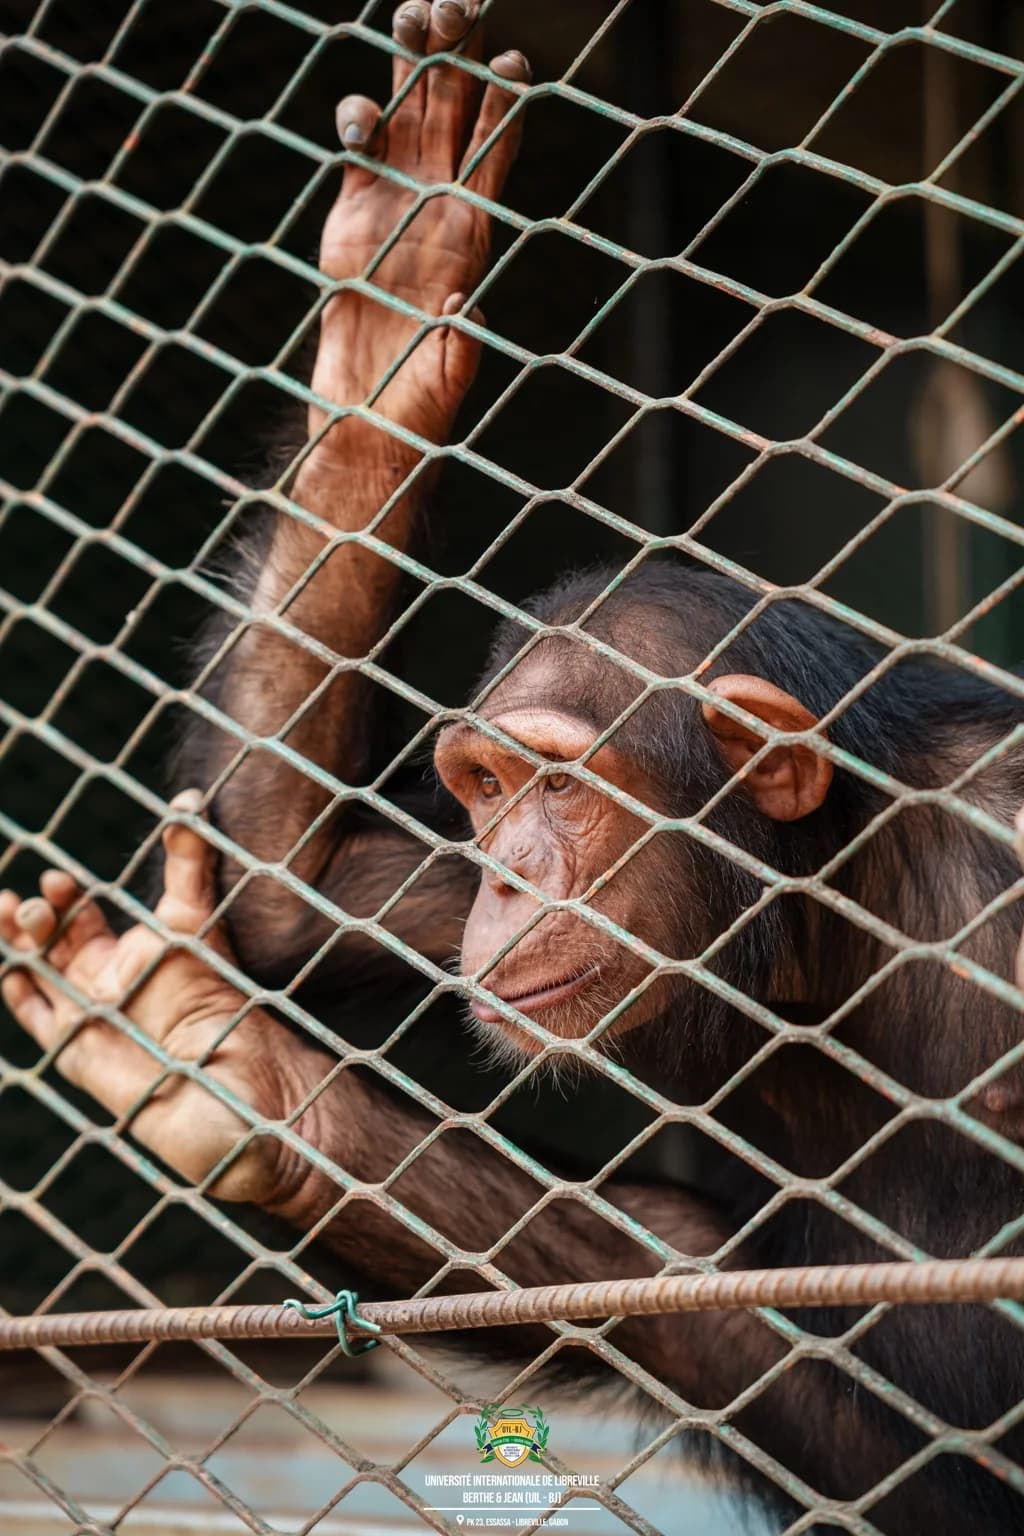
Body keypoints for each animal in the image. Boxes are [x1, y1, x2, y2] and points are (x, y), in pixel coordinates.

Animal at [4, 4, 1024, 1530]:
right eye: (483, 790)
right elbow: (294, 890)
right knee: (677, 1275)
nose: (509, 880)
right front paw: (393, 318)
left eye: (561, 786)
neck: (831, 906)